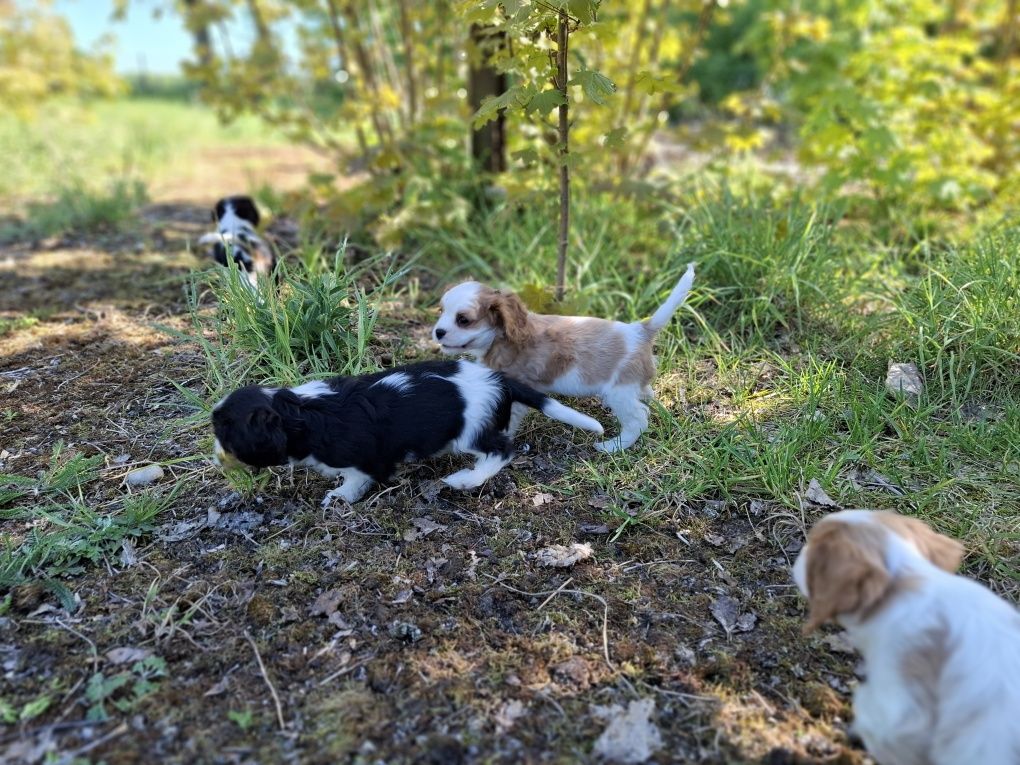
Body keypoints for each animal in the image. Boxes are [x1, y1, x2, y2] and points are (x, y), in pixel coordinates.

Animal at [211, 361, 599, 505]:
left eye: (225, 430)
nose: (215, 458)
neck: (299, 410)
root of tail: (498, 379)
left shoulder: (363, 460)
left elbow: (356, 479)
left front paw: (340, 497)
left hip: (470, 432)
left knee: (501, 451)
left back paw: (464, 480)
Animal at [430, 265, 693, 452]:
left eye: (463, 320)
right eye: (441, 312)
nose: (438, 332)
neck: (501, 337)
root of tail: (640, 329)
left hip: (621, 393)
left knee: (638, 419)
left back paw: (612, 447)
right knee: (648, 395)